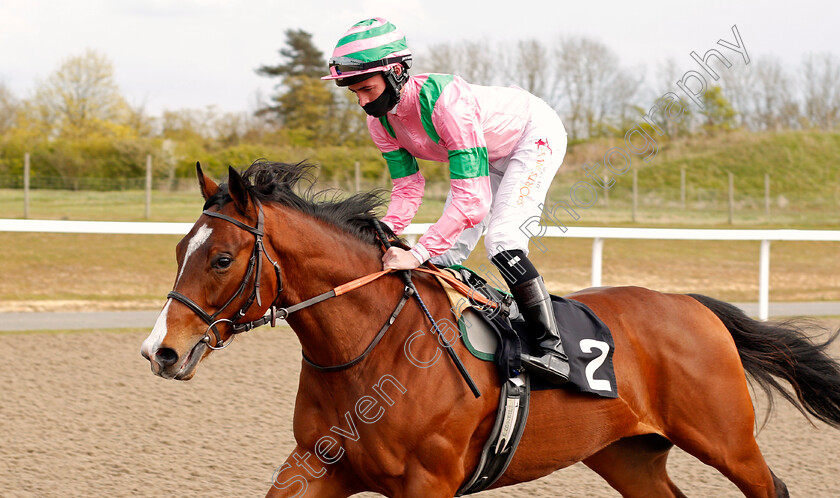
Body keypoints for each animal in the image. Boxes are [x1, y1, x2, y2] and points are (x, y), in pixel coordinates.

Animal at [141, 161, 836, 496]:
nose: (161, 351)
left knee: (771, 487)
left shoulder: (426, 485)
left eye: (221, 259)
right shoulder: (317, 465)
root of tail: (692, 305)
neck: (373, 352)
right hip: (627, 454)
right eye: (176, 250)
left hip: (727, 441)